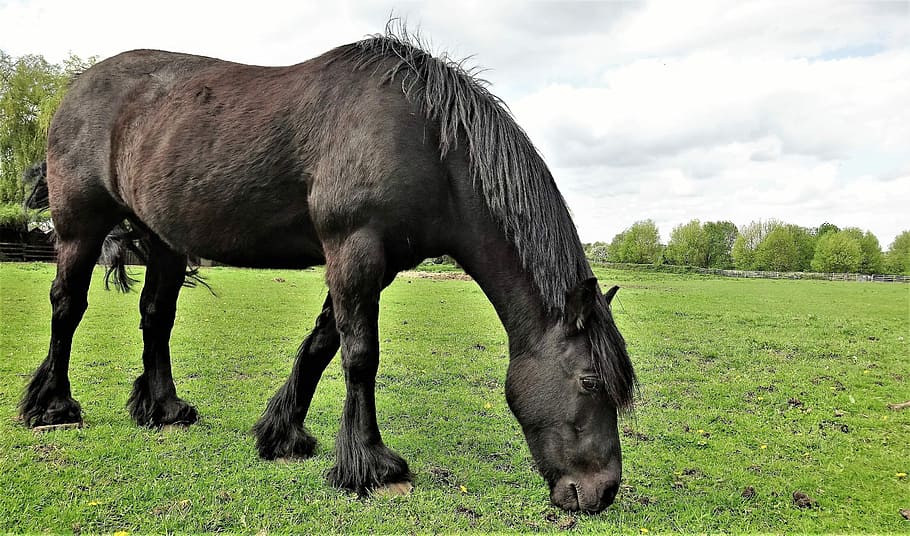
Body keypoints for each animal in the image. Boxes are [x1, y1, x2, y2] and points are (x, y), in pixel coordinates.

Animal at [19, 28, 636, 513]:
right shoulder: (354, 248)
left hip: (164, 240)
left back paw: (164, 409)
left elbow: (321, 345)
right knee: (67, 306)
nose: (602, 492)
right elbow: (360, 356)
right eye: (588, 381)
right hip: (79, 228)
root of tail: (77, 89)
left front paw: (282, 433)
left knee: (156, 316)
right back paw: (52, 407)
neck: (427, 141)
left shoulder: (375, 263)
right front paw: (370, 465)